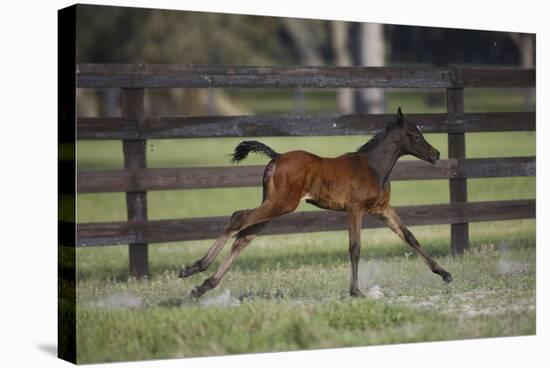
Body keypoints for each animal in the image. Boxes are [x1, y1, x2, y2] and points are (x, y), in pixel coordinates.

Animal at [181, 108, 452, 298]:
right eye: (415, 135)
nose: (436, 154)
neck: (374, 168)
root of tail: (277, 157)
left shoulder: (382, 209)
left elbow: (410, 237)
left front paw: (445, 274)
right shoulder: (355, 209)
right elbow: (355, 247)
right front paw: (355, 291)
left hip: (274, 206)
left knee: (243, 237)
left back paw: (204, 285)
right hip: (281, 204)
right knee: (238, 217)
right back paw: (195, 268)